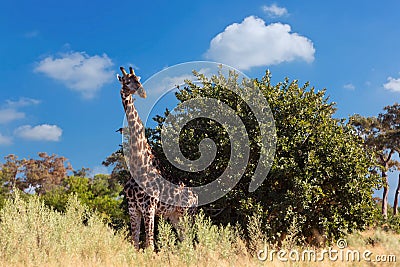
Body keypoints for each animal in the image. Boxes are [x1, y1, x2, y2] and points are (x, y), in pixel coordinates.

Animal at [116, 67, 198, 251]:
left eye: (138, 80)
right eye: (126, 81)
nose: (142, 92)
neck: (139, 164)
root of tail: (196, 196)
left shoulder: (149, 207)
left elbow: (150, 244)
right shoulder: (133, 208)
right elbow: (136, 243)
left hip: (189, 213)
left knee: (193, 238)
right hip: (175, 215)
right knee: (184, 239)